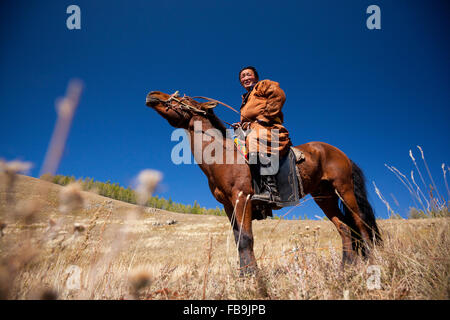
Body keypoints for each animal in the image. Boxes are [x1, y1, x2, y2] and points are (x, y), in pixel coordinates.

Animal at [146, 90, 382, 276]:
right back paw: (346, 267)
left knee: (360, 223)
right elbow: (238, 239)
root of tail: (340, 153)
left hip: (344, 189)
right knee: (344, 227)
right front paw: (244, 274)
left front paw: (252, 275)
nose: (153, 95)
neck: (224, 156)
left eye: (184, 98)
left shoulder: (242, 199)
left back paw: (371, 262)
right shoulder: (228, 206)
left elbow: (246, 238)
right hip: (324, 196)